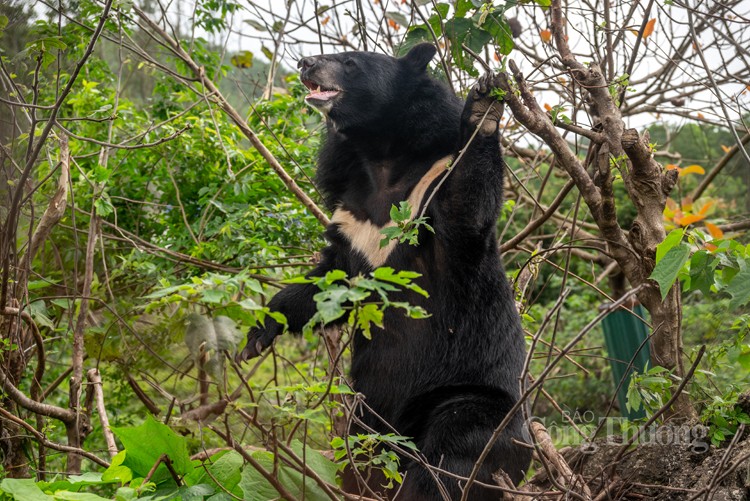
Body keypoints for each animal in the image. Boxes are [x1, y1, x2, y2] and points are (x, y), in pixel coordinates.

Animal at [238, 44, 532, 500]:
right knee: (366, 456)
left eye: (349, 62)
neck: (381, 158)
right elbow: (329, 283)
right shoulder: (351, 219)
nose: (306, 63)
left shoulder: (434, 187)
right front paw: (259, 333)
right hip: (368, 420)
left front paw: (484, 103)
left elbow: (465, 209)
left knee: (452, 455)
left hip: (475, 401)